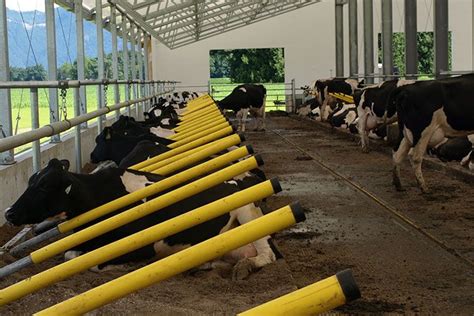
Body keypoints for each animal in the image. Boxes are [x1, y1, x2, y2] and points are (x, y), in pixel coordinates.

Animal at [5, 159, 280, 280]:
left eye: (44, 185)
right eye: (30, 180)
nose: (8, 213)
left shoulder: (144, 248)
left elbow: (90, 262)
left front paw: (125, 267)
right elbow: (69, 255)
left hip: (248, 213)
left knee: (268, 255)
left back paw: (244, 267)